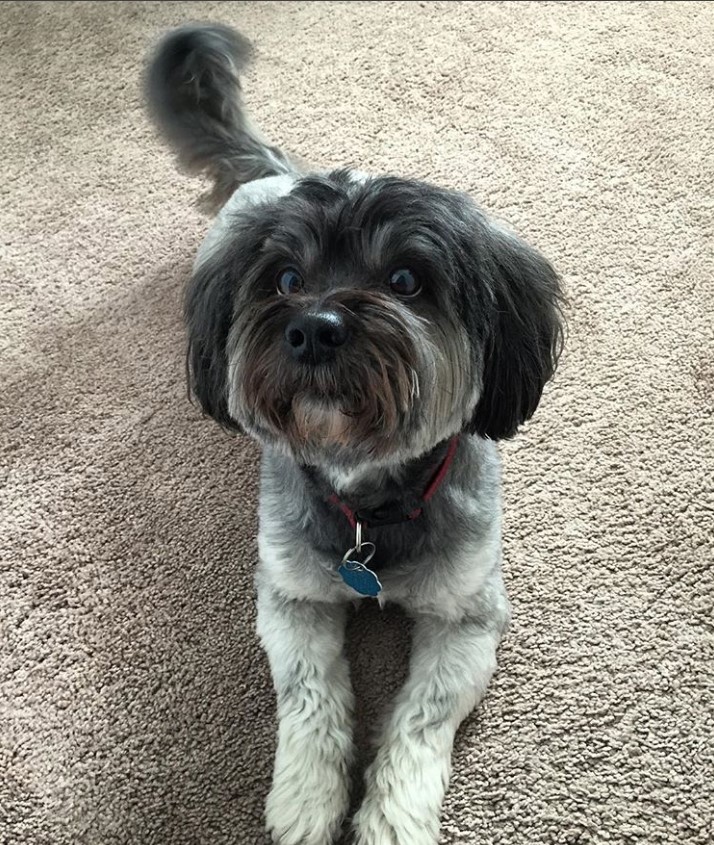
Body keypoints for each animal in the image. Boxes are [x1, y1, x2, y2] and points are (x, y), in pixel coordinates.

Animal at [146, 21, 560, 844]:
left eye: (405, 280)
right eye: (285, 280)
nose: (313, 328)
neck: (371, 502)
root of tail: (273, 175)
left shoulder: (468, 619)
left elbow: (419, 720)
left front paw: (393, 818)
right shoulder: (289, 598)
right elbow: (312, 699)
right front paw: (306, 800)